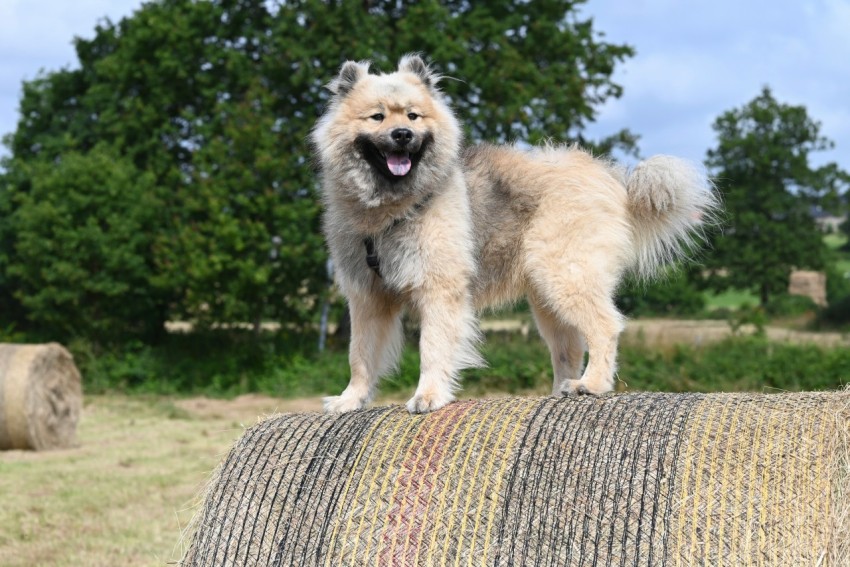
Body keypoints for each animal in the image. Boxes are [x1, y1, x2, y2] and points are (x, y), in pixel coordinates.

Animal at [312, 55, 716, 414]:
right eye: (377, 116)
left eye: (413, 115)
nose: (403, 135)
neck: (391, 210)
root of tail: (613, 180)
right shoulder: (367, 299)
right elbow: (360, 356)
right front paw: (351, 400)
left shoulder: (438, 290)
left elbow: (433, 349)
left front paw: (428, 396)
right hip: (546, 299)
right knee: (568, 348)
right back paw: (559, 392)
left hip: (564, 276)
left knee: (605, 327)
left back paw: (591, 384)